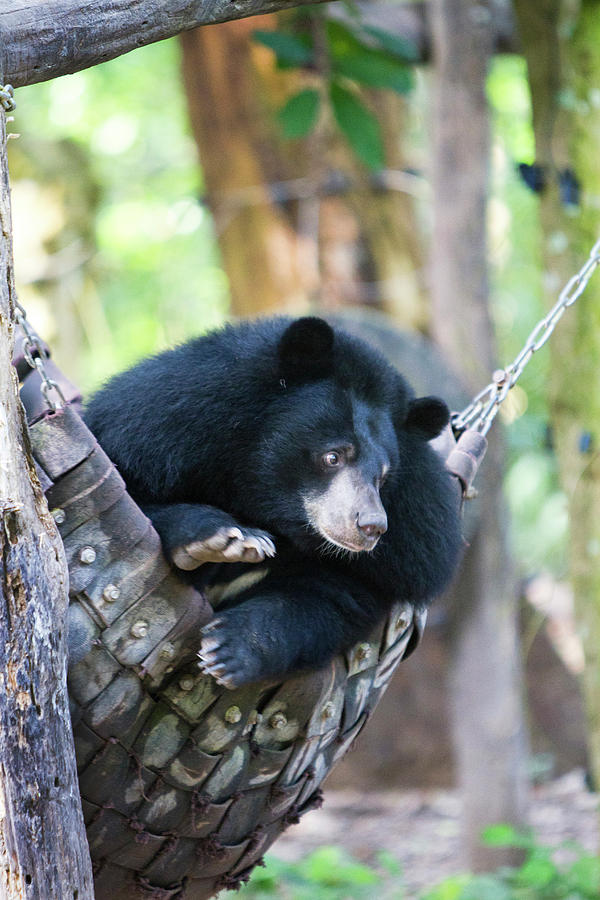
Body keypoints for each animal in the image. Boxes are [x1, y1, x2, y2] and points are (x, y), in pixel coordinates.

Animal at [84, 316, 462, 688]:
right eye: (333, 457)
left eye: (383, 478)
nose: (371, 527)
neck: (264, 500)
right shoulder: (159, 431)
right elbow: (135, 506)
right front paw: (225, 539)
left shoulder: (402, 552)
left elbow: (330, 599)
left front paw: (231, 648)